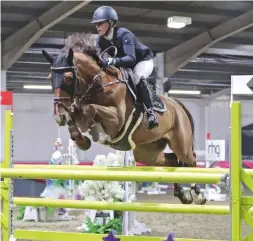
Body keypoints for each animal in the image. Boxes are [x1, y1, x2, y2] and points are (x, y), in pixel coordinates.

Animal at [42, 32, 207, 205]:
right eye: (49, 77)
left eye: (68, 77)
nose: (58, 116)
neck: (99, 84)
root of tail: (177, 105)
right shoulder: (77, 109)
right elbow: (75, 118)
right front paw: (83, 141)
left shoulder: (117, 121)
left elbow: (91, 109)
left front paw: (97, 134)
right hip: (147, 152)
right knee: (173, 160)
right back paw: (182, 194)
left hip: (181, 144)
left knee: (191, 159)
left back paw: (198, 194)